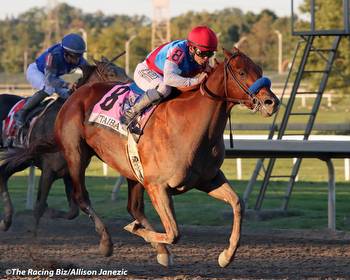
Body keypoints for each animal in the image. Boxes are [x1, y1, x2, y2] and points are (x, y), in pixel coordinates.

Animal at [0, 55, 131, 231]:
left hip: (22, 159)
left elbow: (72, 211)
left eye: (122, 70)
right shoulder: (48, 170)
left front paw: (51, 212)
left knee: (3, 173)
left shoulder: (69, 171)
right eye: (111, 73)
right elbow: (39, 207)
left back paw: (6, 220)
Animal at [50, 49, 278, 268]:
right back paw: (107, 242)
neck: (190, 125)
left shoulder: (208, 179)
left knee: (134, 207)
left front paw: (226, 256)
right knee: (82, 197)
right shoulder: (158, 186)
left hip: (131, 169)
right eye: (241, 72)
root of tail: (77, 92)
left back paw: (161, 251)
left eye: (259, 70)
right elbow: (174, 233)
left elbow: (238, 203)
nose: (271, 102)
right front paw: (135, 230)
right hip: (76, 154)